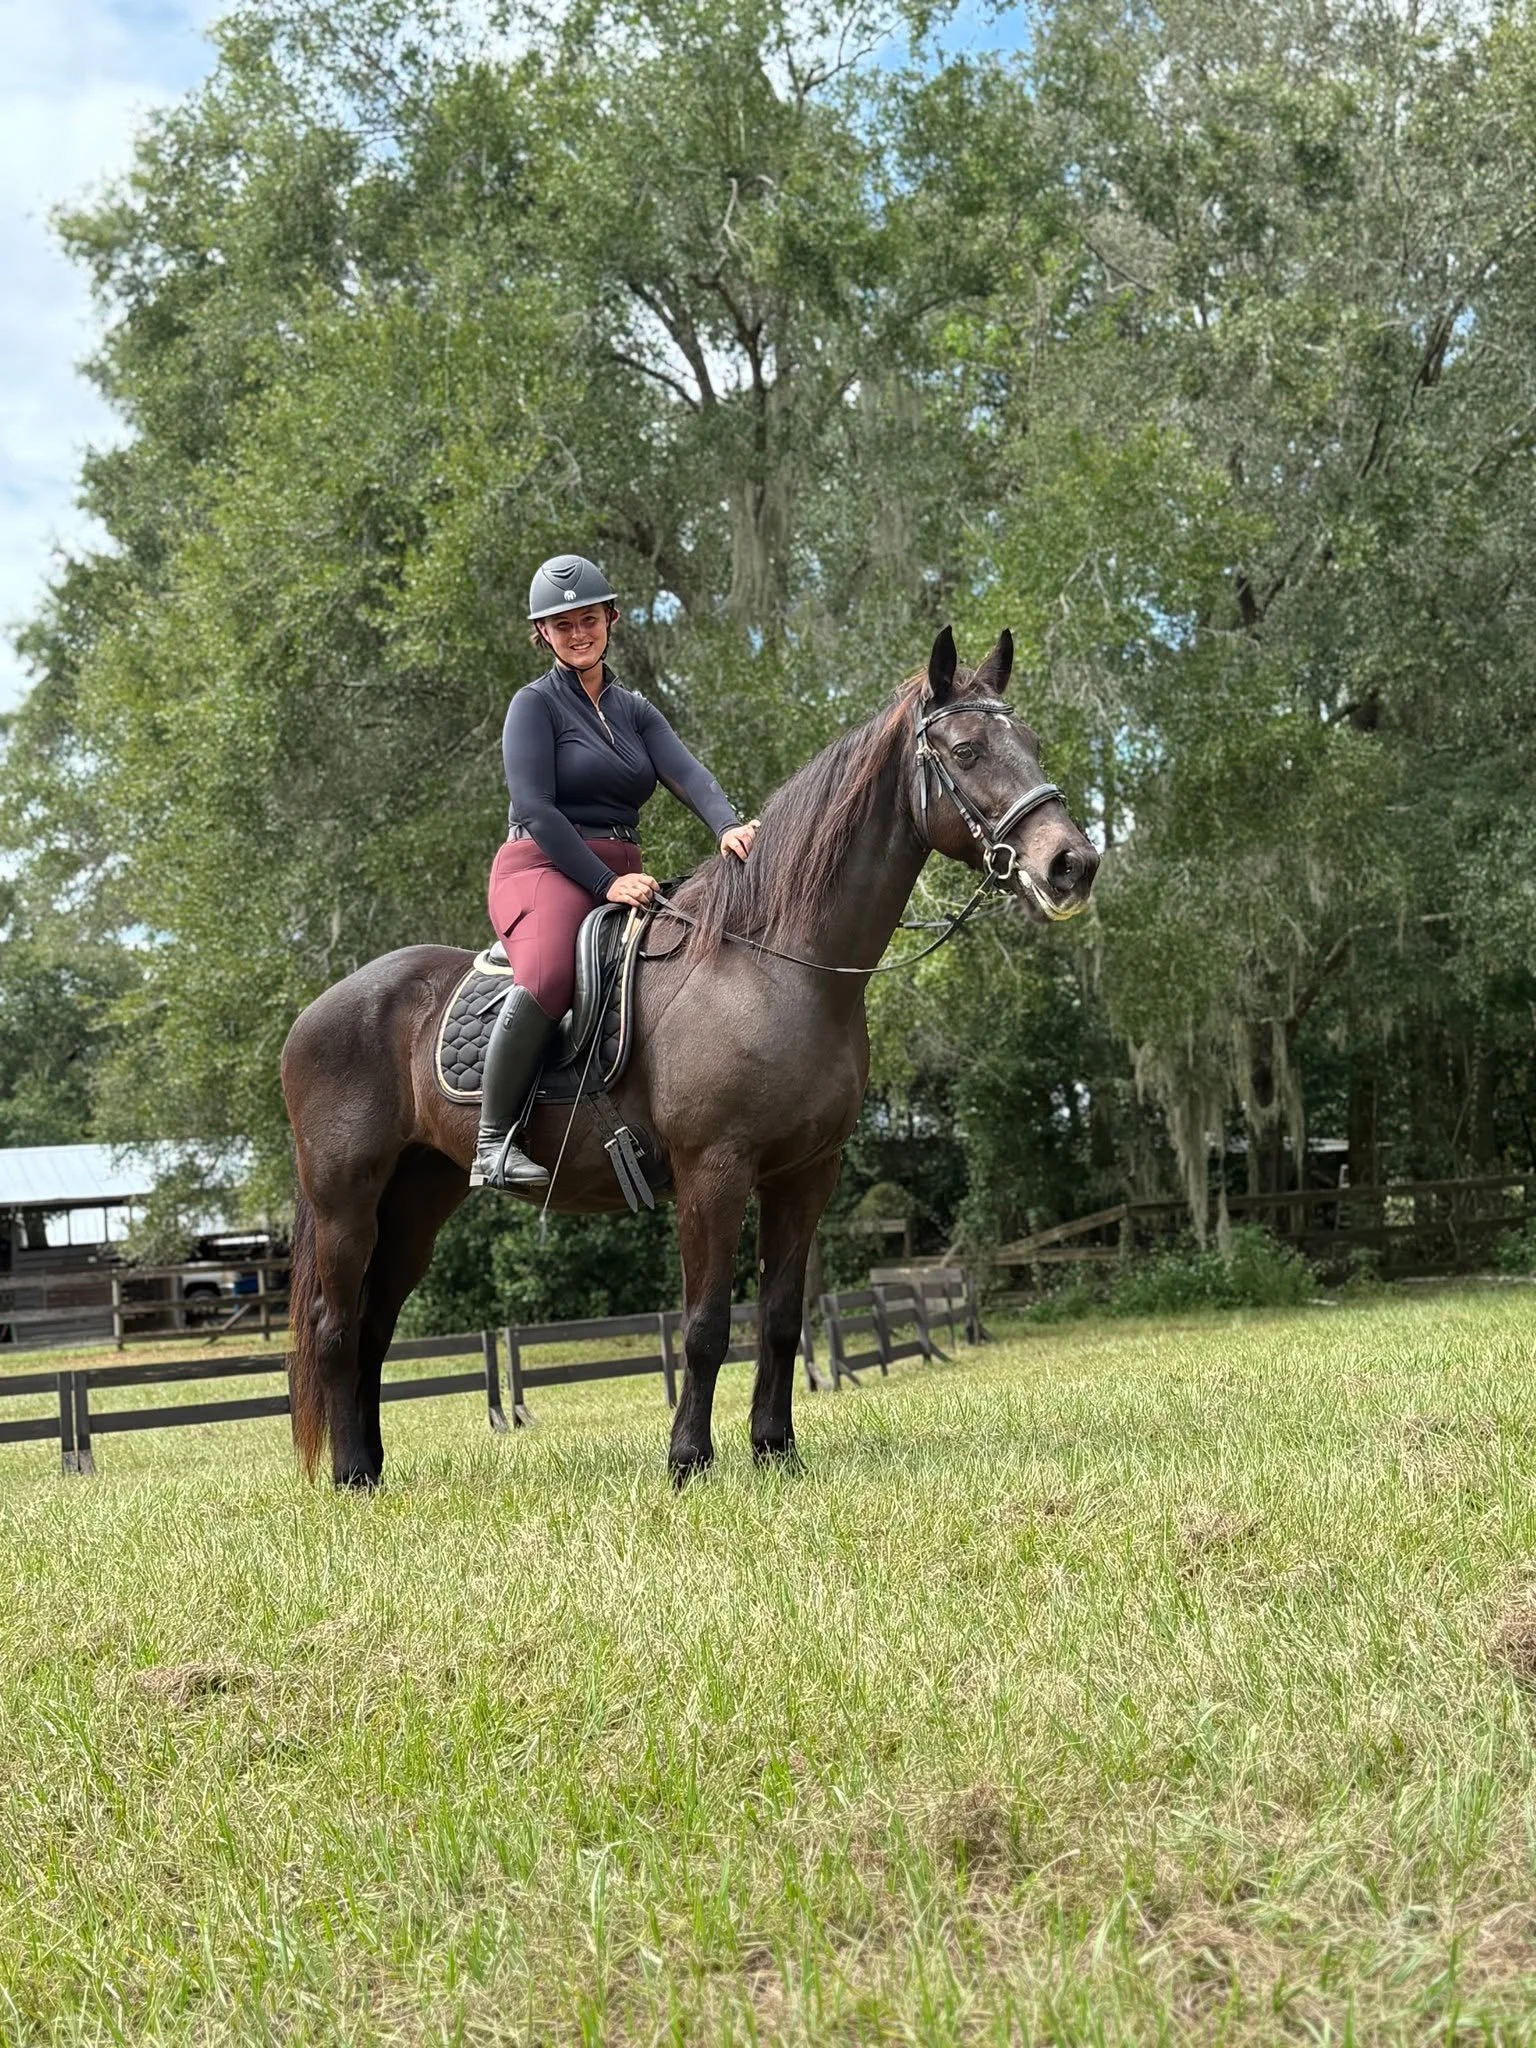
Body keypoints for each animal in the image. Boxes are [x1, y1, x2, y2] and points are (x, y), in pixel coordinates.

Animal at [281, 627, 1099, 1487]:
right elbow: (706, 1324)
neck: (776, 965)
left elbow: (780, 1318)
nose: (1071, 864)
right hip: (345, 1201)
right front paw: (689, 1460)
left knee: (374, 1325)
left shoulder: (804, 1175)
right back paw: (349, 1477)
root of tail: (318, 1011)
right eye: (968, 750)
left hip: (417, 1199)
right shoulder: (715, 1170)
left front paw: (775, 1449)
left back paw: (371, 1469)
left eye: (1031, 744)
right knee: (338, 1326)